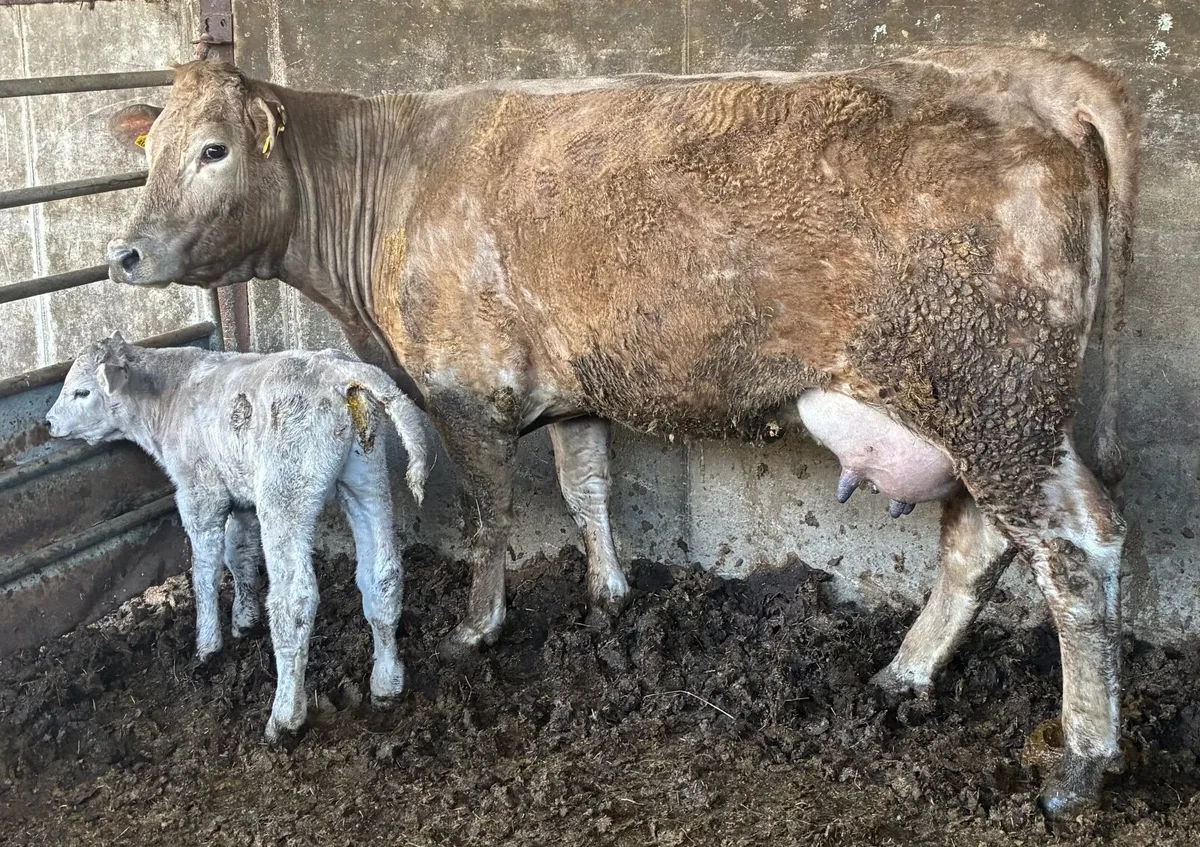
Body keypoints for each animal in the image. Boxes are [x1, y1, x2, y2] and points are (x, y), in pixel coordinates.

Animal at [46, 335, 429, 741]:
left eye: (82, 391)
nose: (49, 422)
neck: (167, 397)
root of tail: (340, 369)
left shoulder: (200, 492)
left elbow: (204, 571)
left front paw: (207, 645)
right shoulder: (240, 495)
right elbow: (238, 551)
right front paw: (244, 619)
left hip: (284, 492)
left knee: (294, 599)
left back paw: (284, 717)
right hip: (366, 476)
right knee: (382, 574)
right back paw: (387, 685)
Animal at [101, 47, 1139, 815]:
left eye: (214, 150)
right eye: (149, 150)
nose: (125, 253)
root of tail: (1028, 69)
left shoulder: (465, 392)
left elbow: (488, 515)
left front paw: (477, 626)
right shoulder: (573, 392)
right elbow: (586, 482)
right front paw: (608, 595)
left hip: (994, 396)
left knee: (1076, 546)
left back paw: (1080, 762)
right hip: (992, 408)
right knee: (982, 544)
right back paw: (903, 673)